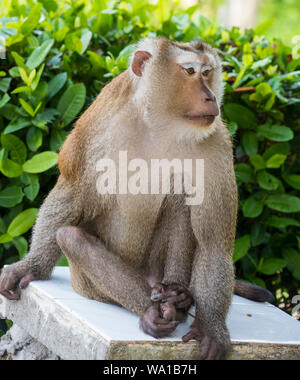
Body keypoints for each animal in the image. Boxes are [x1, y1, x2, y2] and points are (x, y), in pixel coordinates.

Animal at [0, 37, 272, 360]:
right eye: (189, 71)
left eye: (207, 72)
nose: (210, 97)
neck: (162, 124)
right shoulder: (101, 119)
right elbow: (72, 189)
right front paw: (31, 266)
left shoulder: (216, 143)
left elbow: (213, 242)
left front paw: (211, 327)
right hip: (88, 287)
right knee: (70, 236)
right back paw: (154, 310)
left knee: (181, 194)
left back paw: (177, 297)